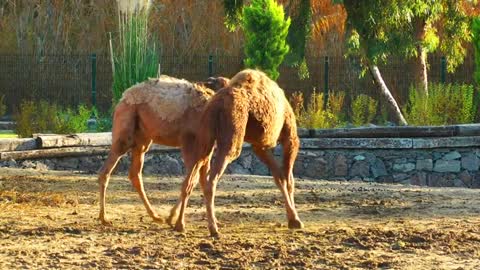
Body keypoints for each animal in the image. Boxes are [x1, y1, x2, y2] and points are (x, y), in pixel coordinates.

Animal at [97, 75, 229, 225]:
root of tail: (122, 99)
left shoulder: (206, 149)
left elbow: (200, 181)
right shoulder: (189, 141)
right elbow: (191, 181)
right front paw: (174, 218)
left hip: (142, 140)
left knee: (135, 174)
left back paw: (155, 216)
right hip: (125, 131)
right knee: (106, 171)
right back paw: (104, 217)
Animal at [169, 69, 304, 236]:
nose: (203, 82)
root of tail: (216, 105)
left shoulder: (259, 146)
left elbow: (279, 177)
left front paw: (293, 219)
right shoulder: (290, 136)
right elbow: (288, 178)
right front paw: (295, 220)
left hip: (205, 137)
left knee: (191, 178)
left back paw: (179, 224)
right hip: (232, 139)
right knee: (211, 179)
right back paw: (213, 228)